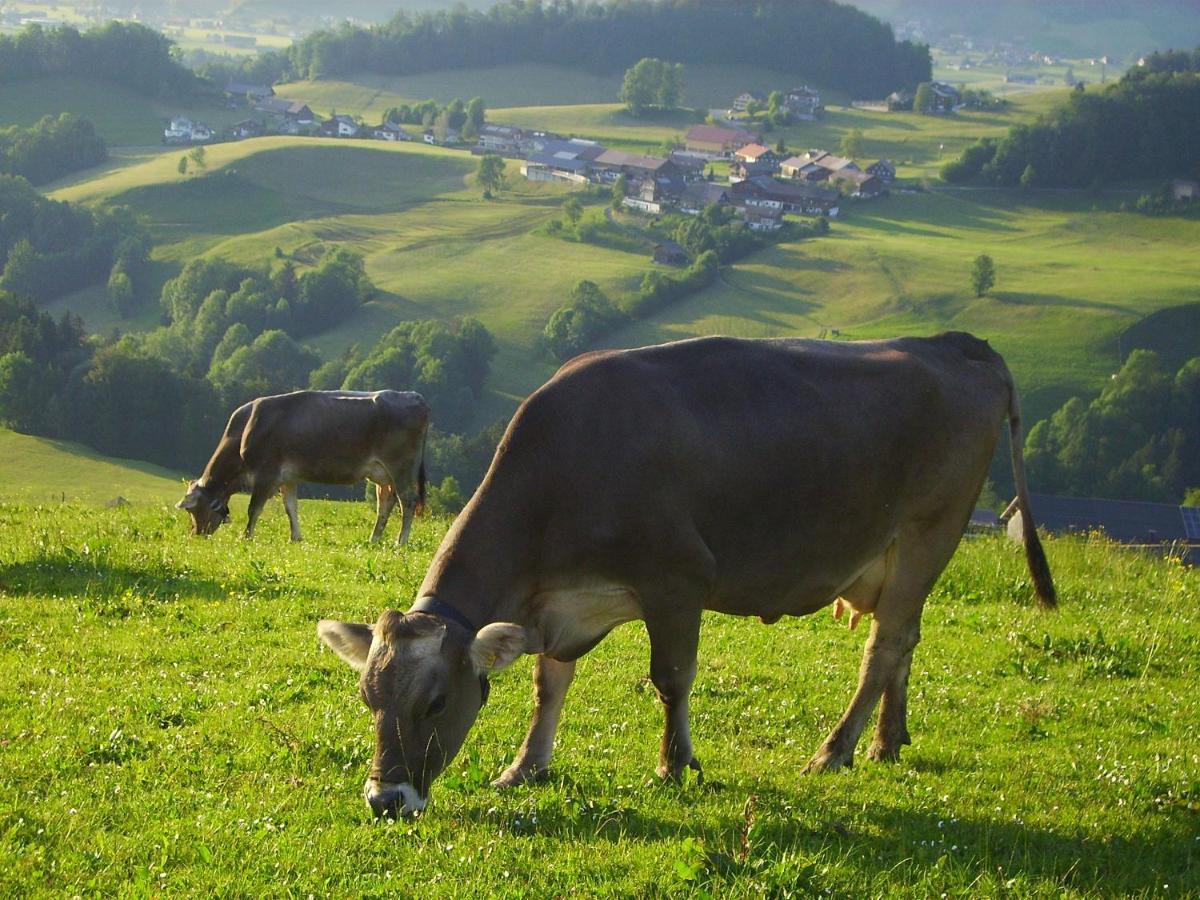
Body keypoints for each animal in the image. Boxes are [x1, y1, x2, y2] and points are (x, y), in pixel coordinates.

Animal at [175, 388, 427, 542]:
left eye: (192, 510)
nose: (196, 534)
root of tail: (414, 396)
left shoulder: (266, 474)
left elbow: (253, 509)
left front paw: (246, 536)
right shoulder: (287, 478)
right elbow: (290, 508)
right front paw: (295, 537)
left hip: (400, 467)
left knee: (407, 501)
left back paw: (401, 541)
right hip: (382, 474)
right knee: (385, 503)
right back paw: (373, 539)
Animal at [316, 336, 1051, 820]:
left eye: (437, 702)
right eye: (367, 699)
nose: (385, 799)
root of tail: (956, 344)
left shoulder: (677, 580)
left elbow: (671, 678)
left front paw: (676, 764)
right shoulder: (556, 607)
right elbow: (549, 684)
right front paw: (525, 767)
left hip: (931, 530)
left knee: (886, 645)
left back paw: (834, 751)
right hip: (900, 558)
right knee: (906, 638)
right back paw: (886, 742)